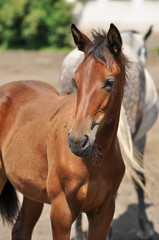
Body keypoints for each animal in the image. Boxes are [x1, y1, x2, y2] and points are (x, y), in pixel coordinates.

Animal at [59, 25, 158, 240]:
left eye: (109, 83)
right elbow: (139, 178)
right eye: (145, 52)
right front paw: (145, 227)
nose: (77, 140)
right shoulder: (139, 139)